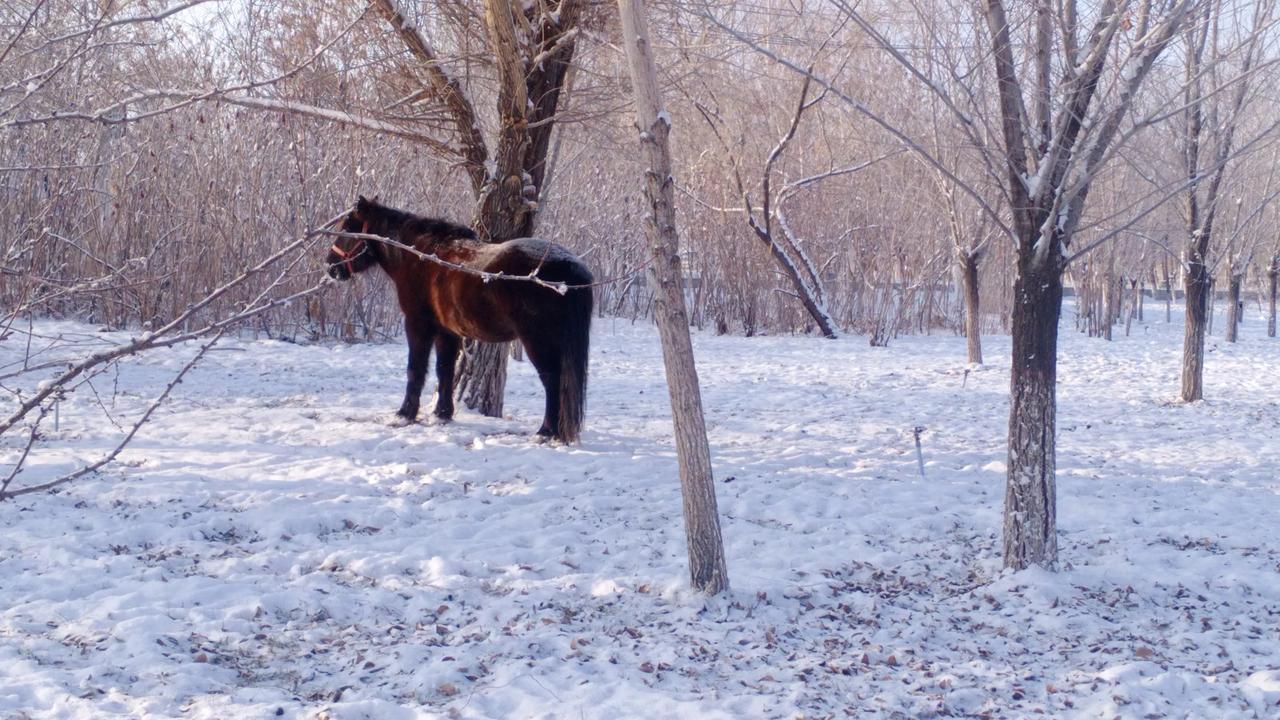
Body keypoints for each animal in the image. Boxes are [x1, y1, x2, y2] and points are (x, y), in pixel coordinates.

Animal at [327, 197, 591, 443]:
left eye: (347, 228)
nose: (330, 268)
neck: (421, 257)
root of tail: (569, 268)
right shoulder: (447, 332)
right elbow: (444, 369)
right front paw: (442, 414)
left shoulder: (417, 325)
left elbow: (415, 370)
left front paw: (404, 414)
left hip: (538, 341)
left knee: (552, 380)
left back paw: (546, 432)